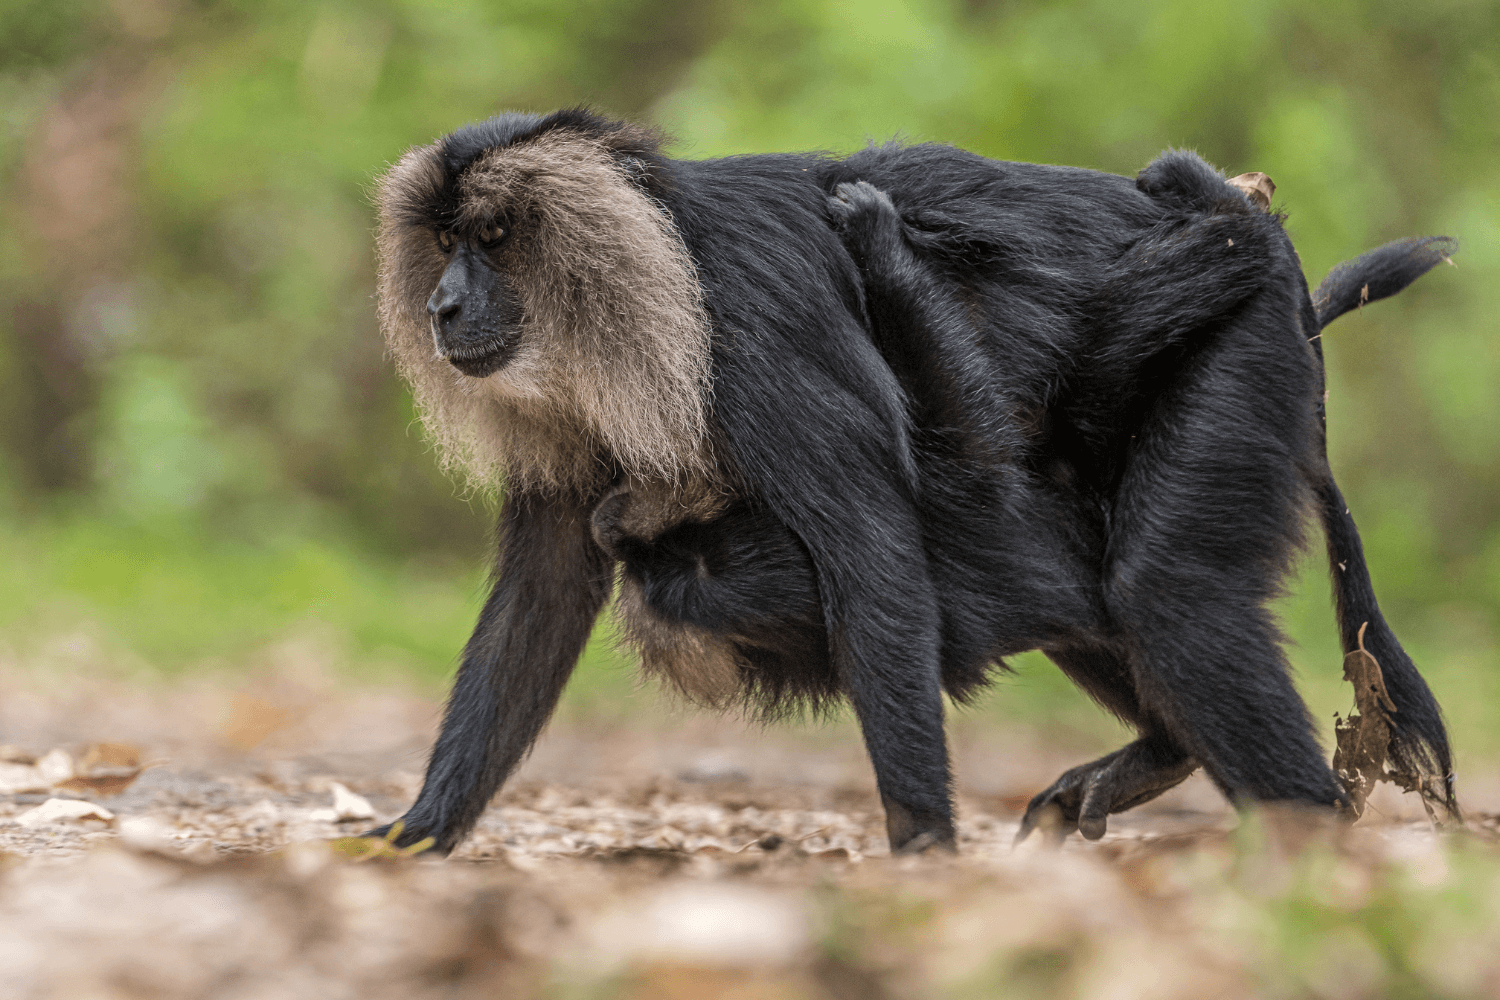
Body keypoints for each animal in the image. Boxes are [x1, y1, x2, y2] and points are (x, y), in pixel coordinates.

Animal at [371, 108, 1457, 855]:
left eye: (497, 239)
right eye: (447, 243)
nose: (443, 305)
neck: (664, 264)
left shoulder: (761, 329)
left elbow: (874, 561)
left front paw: (923, 856)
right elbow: (544, 590)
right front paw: (417, 834)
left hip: (1247, 338)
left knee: (1170, 594)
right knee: (1094, 581)